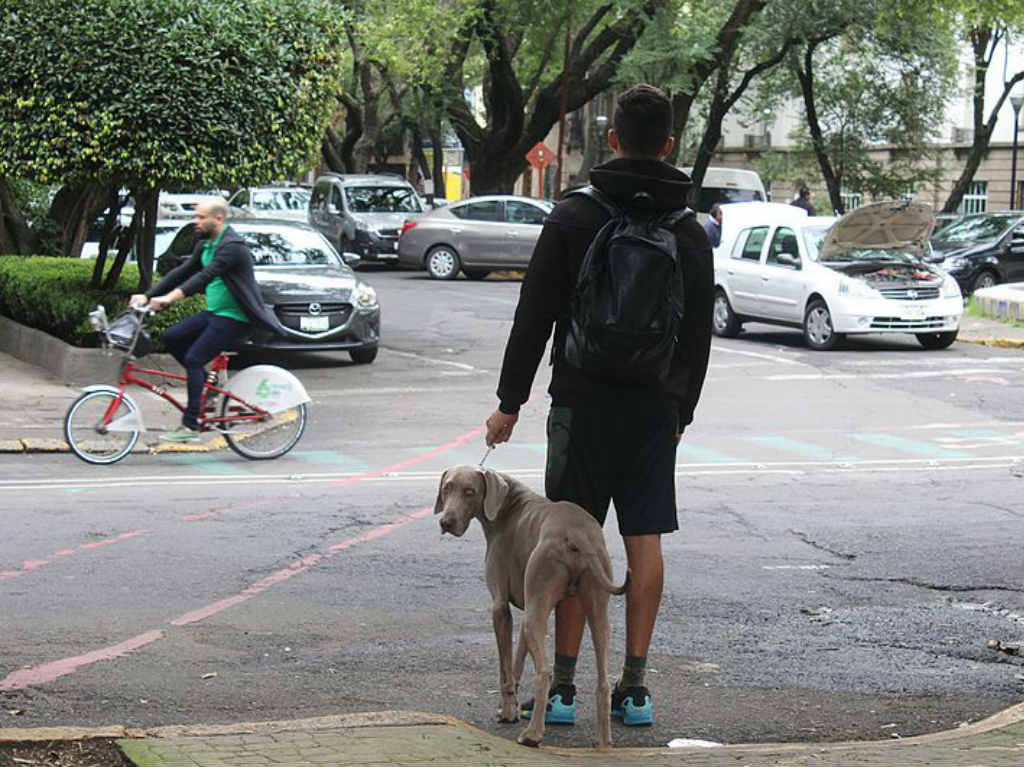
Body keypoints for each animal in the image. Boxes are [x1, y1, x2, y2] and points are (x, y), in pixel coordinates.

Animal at [432, 462, 622, 745]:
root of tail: (577, 534)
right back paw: (604, 741)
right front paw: (509, 709)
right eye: (447, 488)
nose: (446, 522)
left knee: (544, 673)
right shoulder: (529, 607)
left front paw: (508, 712)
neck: (506, 507)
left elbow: (505, 668)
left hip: (539, 601)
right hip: (594, 609)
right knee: (603, 679)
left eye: (470, 491)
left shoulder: (500, 608)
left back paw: (532, 734)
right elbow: (516, 663)